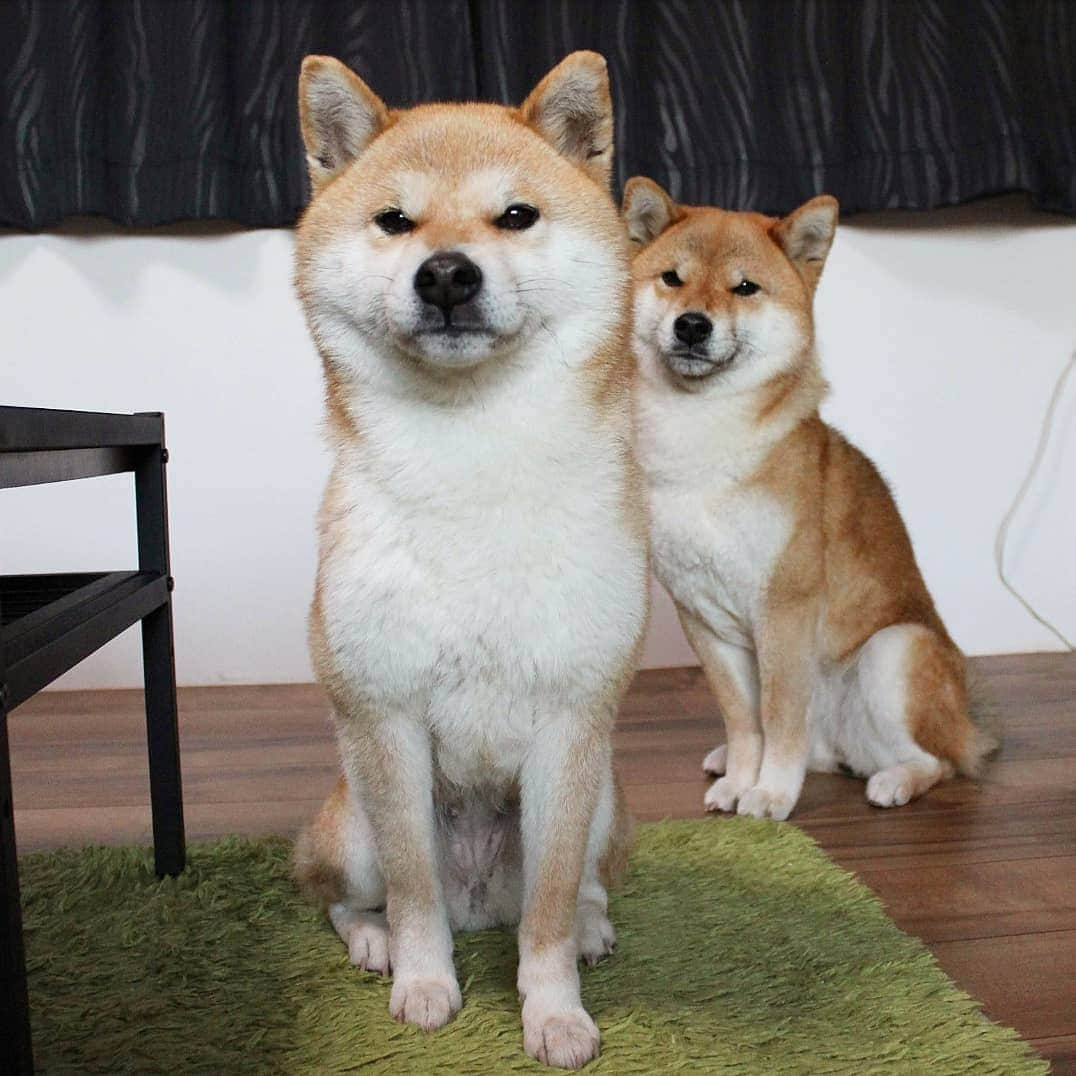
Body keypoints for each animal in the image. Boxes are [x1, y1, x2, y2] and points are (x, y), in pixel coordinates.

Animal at [286, 52, 649, 1067]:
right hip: (351, 823)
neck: (474, 464)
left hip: (605, 799)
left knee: (570, 892)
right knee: (346, 899)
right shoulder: (385, 720)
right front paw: (422, 982)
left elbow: (550, 911)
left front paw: (554, 1011)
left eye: (515, 215)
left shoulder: (572, 728)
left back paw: (591, 927)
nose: (446, 272)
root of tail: (482, 898)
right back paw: (373, 941)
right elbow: (415, 892)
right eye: (394, 221)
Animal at [628, 176, 994, 817]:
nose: (692, 324)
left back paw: (896, 782)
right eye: (672, 278)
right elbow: (744, 721)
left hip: (892, 652)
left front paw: (771, 793)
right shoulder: (706, 620)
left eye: (744, 287)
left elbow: (779, 716)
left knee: (943, 762)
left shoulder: (784, 606)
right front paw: (740, 779)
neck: (700, 446)